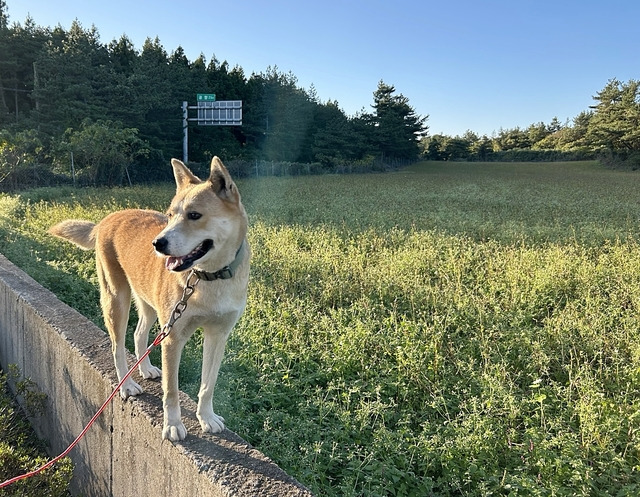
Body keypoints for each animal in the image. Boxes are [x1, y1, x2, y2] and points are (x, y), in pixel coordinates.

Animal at [49, 157, 250, 440]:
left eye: (194, 215)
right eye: (170, 215)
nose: (157, 243)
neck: (209, 278)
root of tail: (108, 218)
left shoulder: (218, 335)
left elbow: (207, 384)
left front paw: (206, 417)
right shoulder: (173, 338)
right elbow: (171, 390)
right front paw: (173, 424)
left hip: (150, 305)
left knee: (138, 333)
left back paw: (144, 369)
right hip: (116, 300)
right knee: (117, 346)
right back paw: (127, 385)